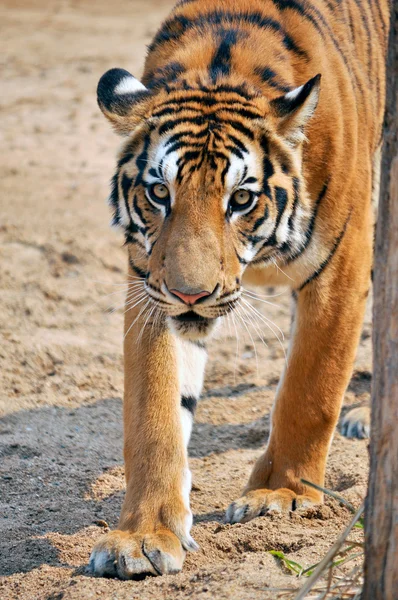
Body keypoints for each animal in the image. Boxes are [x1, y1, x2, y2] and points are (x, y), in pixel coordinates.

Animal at [89, 0, 388, 580]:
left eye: (242, 199)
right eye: (159, 192)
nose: (191, 294)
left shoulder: (342, 264)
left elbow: (309, 389)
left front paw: (281, 495)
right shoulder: (148, 286)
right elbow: (153, 413)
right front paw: (142, 536)